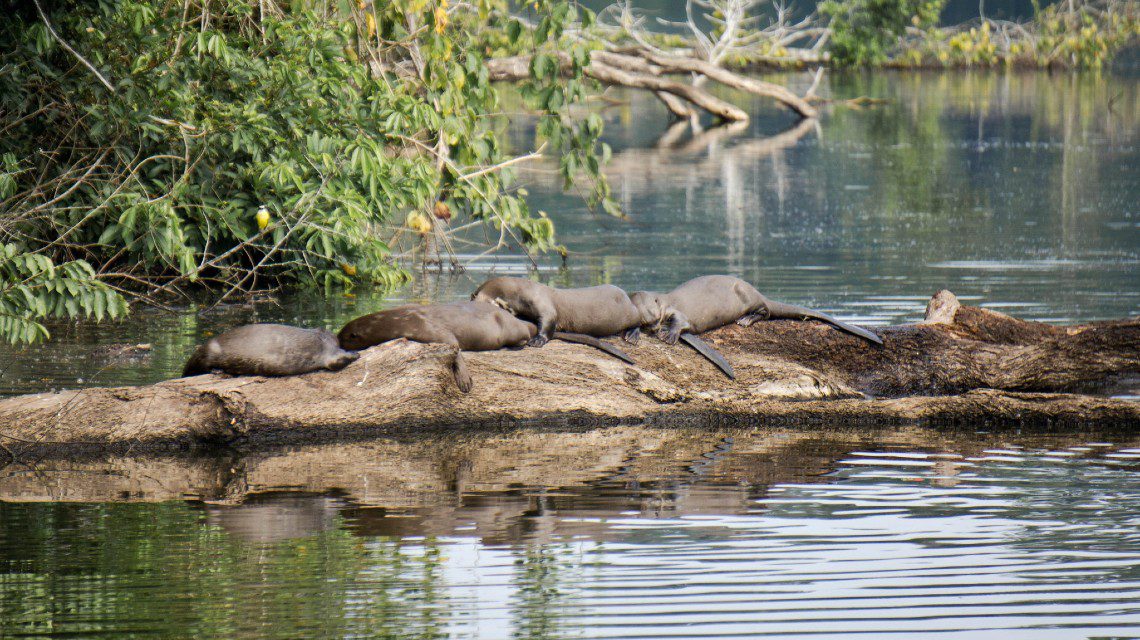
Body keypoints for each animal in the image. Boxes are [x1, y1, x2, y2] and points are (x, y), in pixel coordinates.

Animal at [338, 301, 634, 392]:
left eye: (344, 336)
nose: (338, 343)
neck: (397, 320)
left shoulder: (429, 329)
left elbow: (453, 347)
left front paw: (464, 380)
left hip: (512, 330)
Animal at [471, 277, 643, 347]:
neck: (518, 291)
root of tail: (625, 294)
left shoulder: (542, 302)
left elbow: (548, 320)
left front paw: (537, 340)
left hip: (630, 312)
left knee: (639, 319)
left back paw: (632, 335)